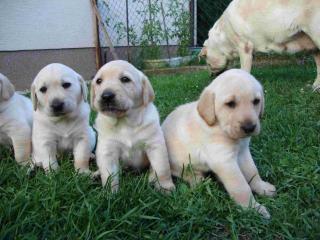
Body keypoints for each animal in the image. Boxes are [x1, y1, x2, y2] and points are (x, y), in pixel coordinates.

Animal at [90, 60, 175, 193]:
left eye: (125, 79)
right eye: (99, 81)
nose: (106, 96)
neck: (125, 122)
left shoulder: (155, 145)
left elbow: (162, 168)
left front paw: (165, 187)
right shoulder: (107, 151)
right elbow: (109, 175)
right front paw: (110, 194)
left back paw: (151, 178)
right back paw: (96, 174)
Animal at [164, 69, 276, 218]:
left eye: (256, 101)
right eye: (230, 103)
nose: (249, 127)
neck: (220, 127)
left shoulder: (243, 152)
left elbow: (252, 172)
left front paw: (262, 187)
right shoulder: (224, 161)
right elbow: (241, 186)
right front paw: (253, 208)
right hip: (180, 164)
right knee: (186, 174)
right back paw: (199, 180)